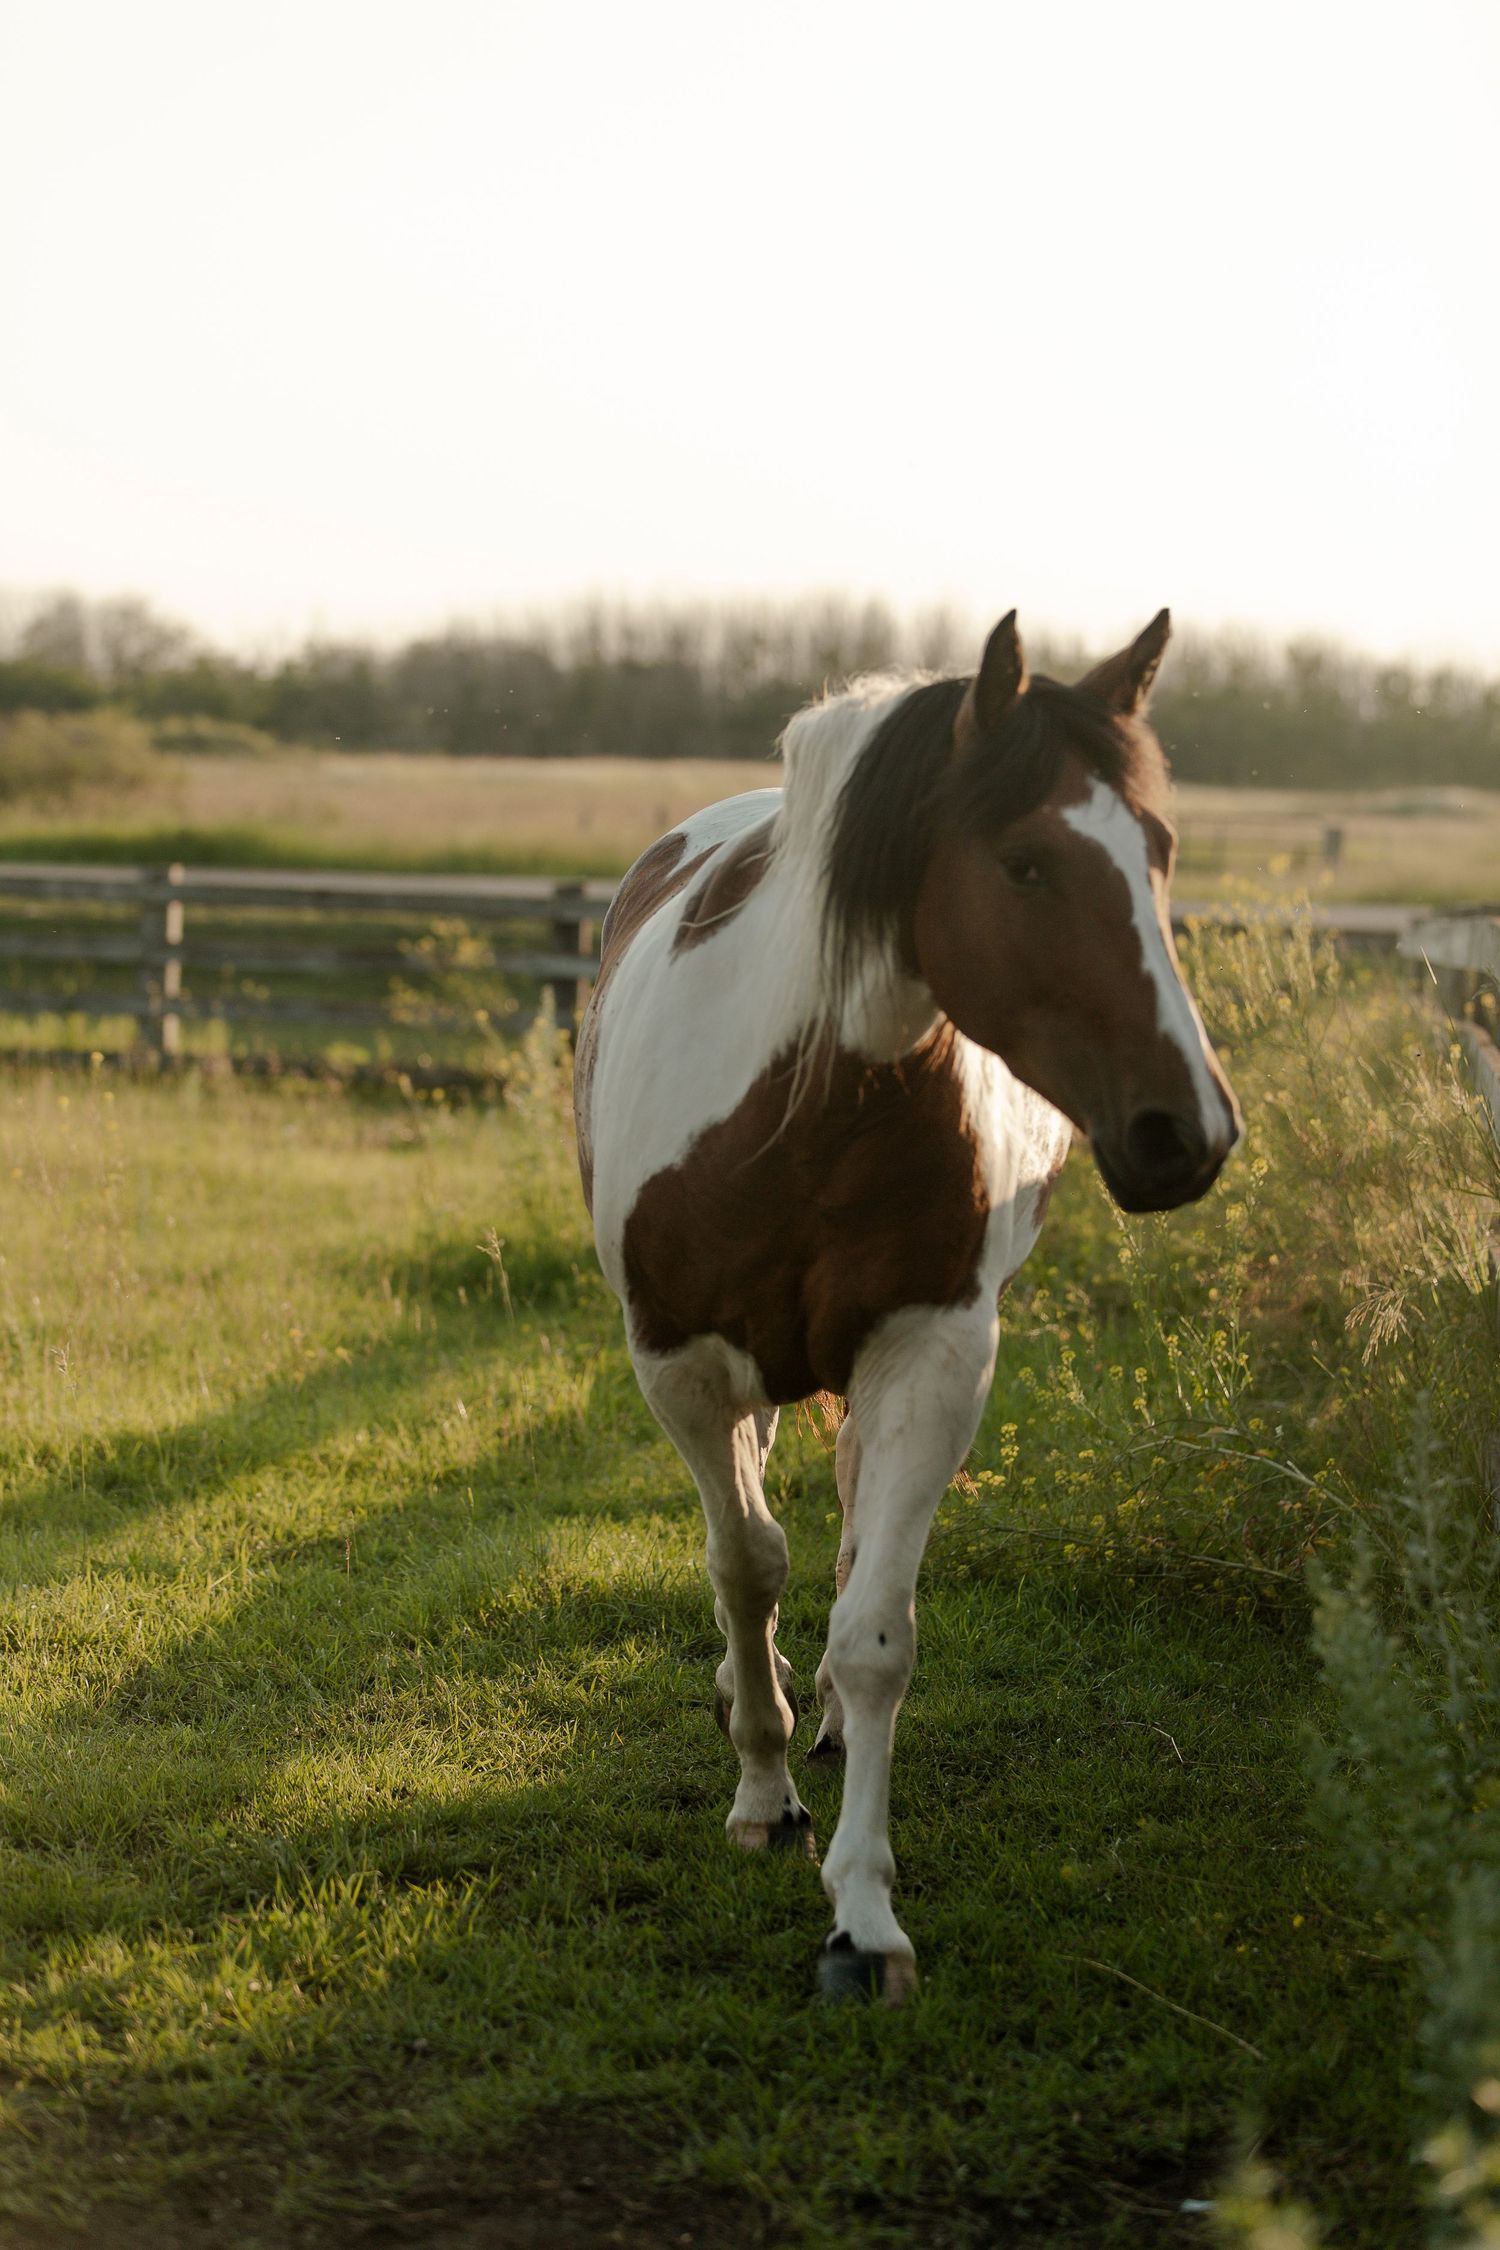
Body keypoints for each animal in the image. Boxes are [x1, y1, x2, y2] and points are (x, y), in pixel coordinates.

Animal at [572, 609, 1240, 2002]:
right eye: (1027, 862)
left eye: (1156, 851)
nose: (1189, 1135)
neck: (802, 1100)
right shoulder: (682, 1368)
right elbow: (742, 1564)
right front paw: (760, 1792)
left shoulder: (933, 1356)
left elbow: (879, 1626)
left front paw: (862, 1916)